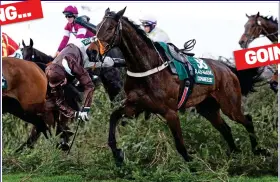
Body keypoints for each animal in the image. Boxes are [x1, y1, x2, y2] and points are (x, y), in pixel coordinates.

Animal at [94, 7, 270, 166]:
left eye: (110, 28)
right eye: (97, 27)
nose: (92, 52)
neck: (147, 68)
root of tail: (227, 69)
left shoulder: (170, 112)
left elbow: (180, 144)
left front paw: (192, 167)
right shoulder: (135, 106)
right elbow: (113, 117)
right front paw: (117, 154)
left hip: (230, 105)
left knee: (247, 120)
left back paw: (258, 150)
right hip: (208, 108)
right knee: (225, 128)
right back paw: (235, 153)